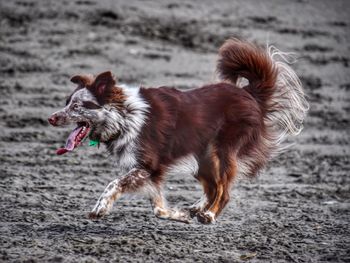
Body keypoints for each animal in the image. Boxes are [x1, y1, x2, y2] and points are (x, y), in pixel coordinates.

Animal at [47, 39, 308, 225]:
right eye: (67, 102)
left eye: (77, 106)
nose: (51, 118)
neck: (125, 116)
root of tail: (248, 93)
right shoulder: (150, 173)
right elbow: (158, 207)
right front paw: (177, 215)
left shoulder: (148, 166)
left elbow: (114, 184)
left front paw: (100, 208)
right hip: (202, 158)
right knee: (213, 187)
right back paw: (198, 208)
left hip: (221, 151)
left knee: (224, 191)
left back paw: (209, 215)